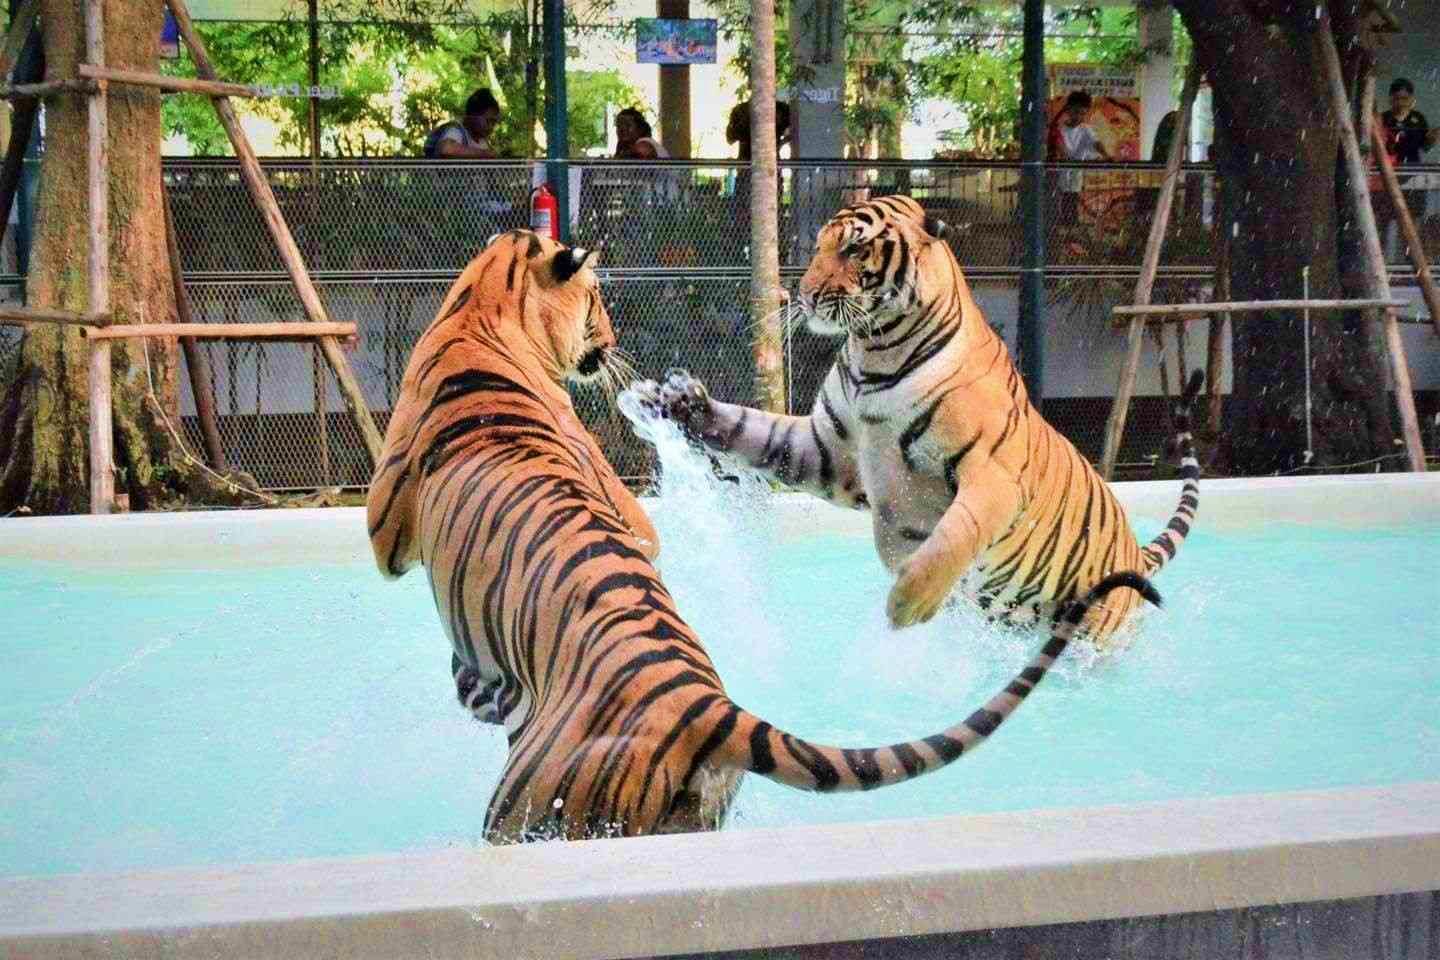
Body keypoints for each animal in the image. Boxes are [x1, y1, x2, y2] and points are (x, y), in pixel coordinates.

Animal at [366, 228, 1161, 842]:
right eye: (595, 301)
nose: (614, 343)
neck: (482, 307)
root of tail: (705, 705)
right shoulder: (634, 516)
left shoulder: (386, 527)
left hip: (525, 808)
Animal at [625, 195, 1199, 644]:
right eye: (819, 246)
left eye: (854, 248)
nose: (804, 295)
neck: (874, 352)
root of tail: (1135, 550)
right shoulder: (826, 449)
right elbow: (752, 430)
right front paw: (675, 401)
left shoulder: (992, 476)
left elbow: (954, 535)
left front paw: (908, 605)